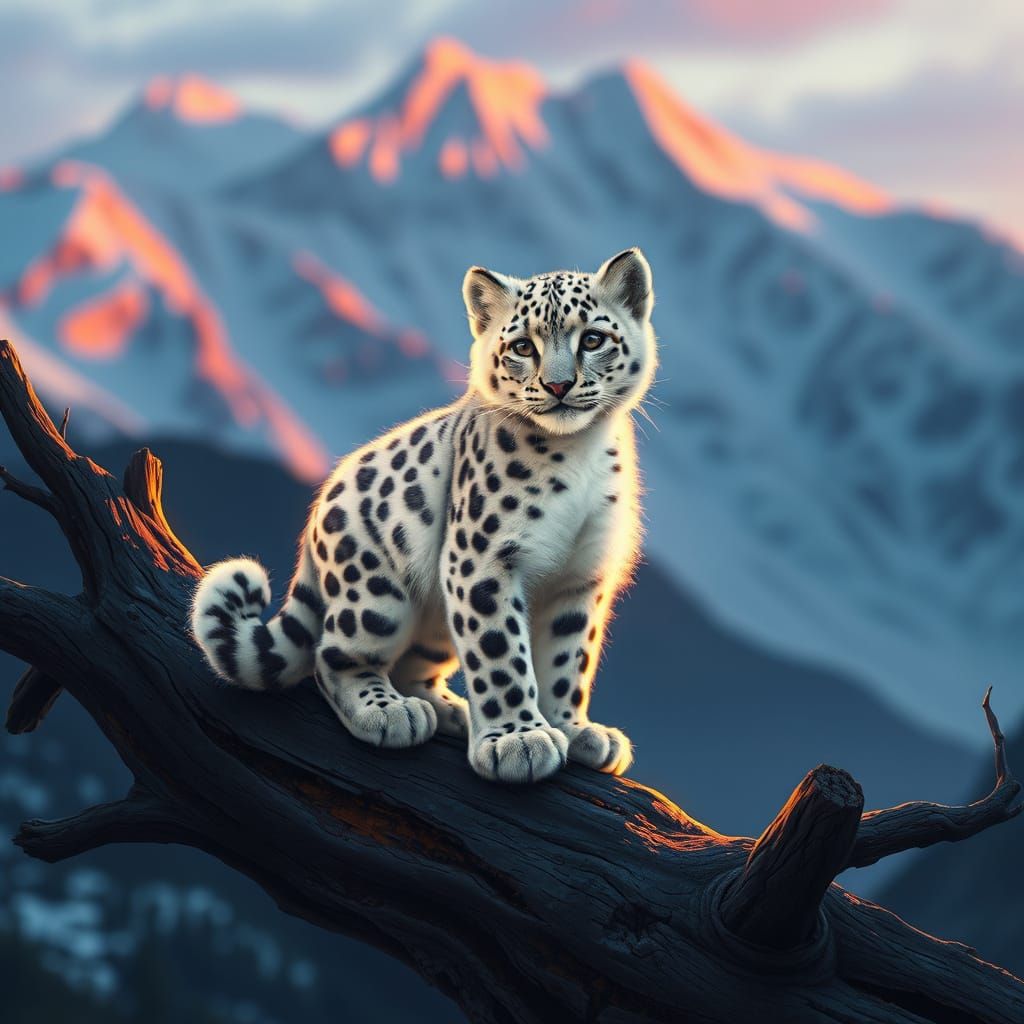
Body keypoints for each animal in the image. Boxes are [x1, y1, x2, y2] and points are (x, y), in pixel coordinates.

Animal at [190, 248, 656, 784]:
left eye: (593, 339)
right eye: (522, 346)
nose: (558, 385)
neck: (579, 451)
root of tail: (314, 520)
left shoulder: (581, 576)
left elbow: (567, 658)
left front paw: (572, 729)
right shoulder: (483, 560)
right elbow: (500, 653)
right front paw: (519, 740)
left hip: (435, 623)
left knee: (414, 664)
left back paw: (450, 709)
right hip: (375, 598)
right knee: (333, 656)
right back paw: (391, 712)